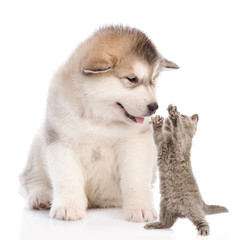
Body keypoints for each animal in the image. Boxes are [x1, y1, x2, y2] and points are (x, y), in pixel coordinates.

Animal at [19, 25, 178, 221]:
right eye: (132, 79)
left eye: (153, 80)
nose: (154, 107)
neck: (100, 117)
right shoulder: (60, 141)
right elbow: (67, 178)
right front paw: (68, 206)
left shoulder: (136, 143)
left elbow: (136, 179)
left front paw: (140, 208)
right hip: (37, 145)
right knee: (32, 177)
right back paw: (41, 196)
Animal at [144, 105, 228, 236]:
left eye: (183, 115)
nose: (167, 117)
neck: (169, 137)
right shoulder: (161, 142)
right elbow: (158, 134)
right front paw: (157, 122)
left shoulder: (180, 141)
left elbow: (178, 130)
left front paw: (174, 117)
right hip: (164, 208)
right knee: (166, 223)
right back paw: (153, 224)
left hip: (191, 208)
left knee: (201, 219)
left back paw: (204, 230)